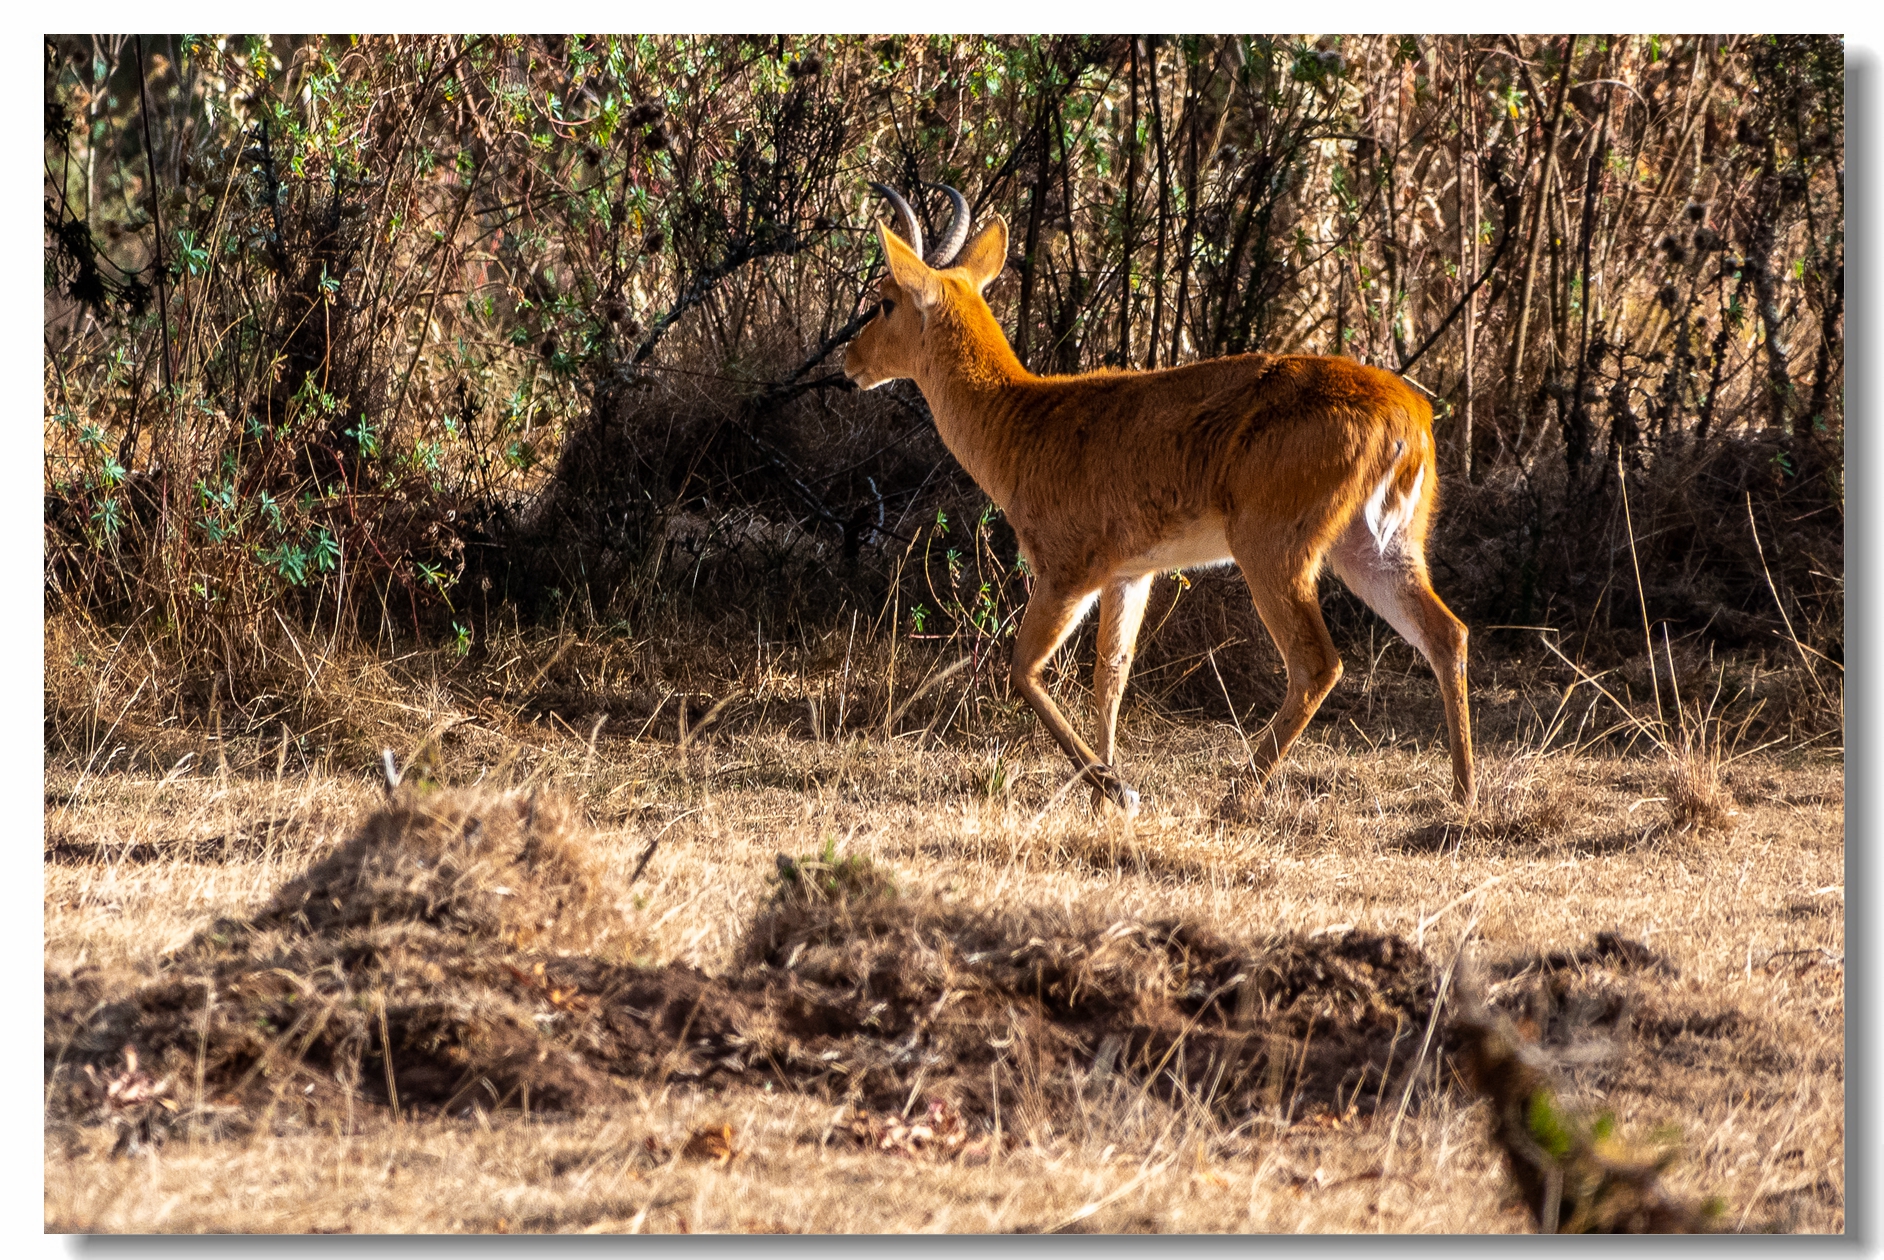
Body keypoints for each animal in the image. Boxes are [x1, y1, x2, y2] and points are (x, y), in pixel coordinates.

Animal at [847, 184, 1477, 817]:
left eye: (884, 301)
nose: (850, 361)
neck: (1024, 426)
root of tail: (1410, 416)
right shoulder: (1130, 573)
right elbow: (1111, 674)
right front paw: (1105, 793)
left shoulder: (1066, 569)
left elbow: (1022, 669)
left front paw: (1116, 786)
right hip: (1378, 546)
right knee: (1447, 634)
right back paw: (1464, 794)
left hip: (1274, 547)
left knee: (1317, 662)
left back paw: (1235, 793)